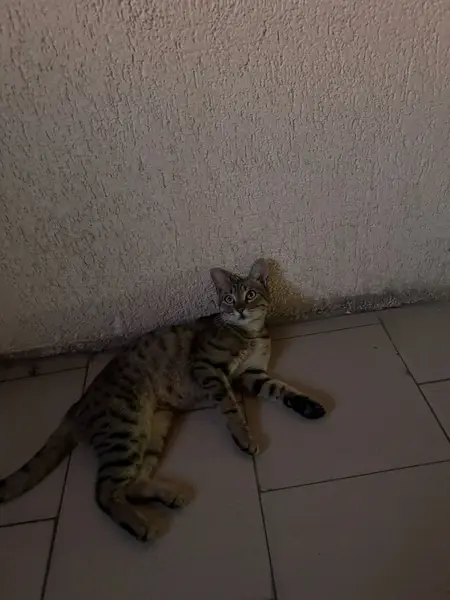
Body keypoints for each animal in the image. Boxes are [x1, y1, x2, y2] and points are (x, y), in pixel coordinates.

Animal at [0, 258, 326, 542]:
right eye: (228, 298)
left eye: (250, 294)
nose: (240, 309)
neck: (250, 334)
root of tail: (77, 405)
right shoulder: (209, 370)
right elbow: (232, 410)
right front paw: (244, 437)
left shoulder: (253, 374)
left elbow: (282, 389)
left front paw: (308, 404)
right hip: (125, 429)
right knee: (104, 492)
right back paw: (139, 526)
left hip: (153, 428)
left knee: (132, 485)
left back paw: (168, 497)